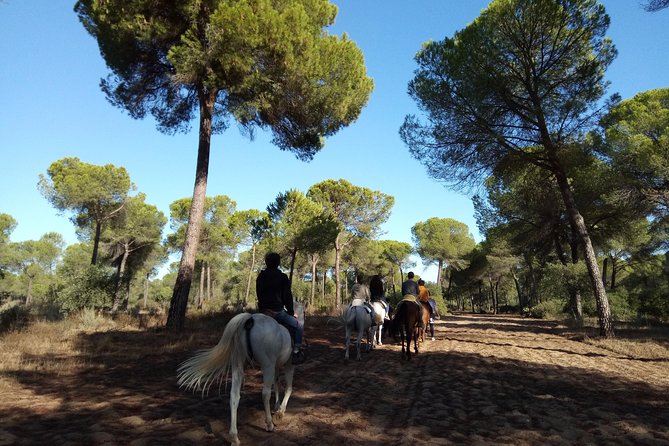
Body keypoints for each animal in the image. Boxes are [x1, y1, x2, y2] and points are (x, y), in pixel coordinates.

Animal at [177, 312, 294, 446]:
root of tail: (250, 319)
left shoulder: (277, 365)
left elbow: (277, 383)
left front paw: (277, 406)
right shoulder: (289, 364)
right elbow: (288, 388)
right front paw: (281, 411)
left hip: (238, 364)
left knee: (234, 396)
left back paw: (234, 437)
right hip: (267, 365)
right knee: (265, 393)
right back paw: (269, 424)